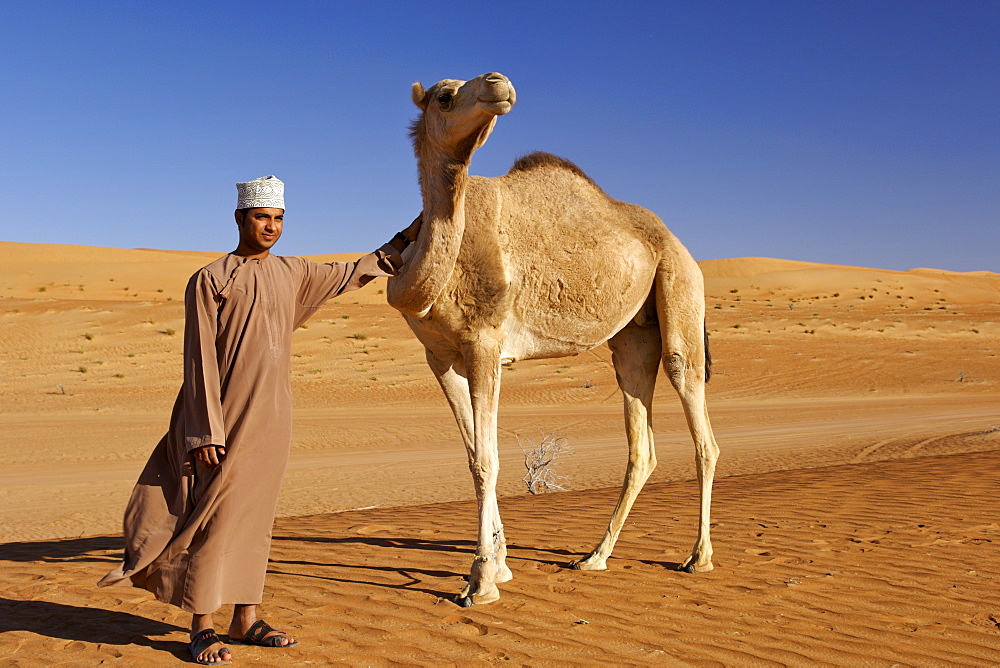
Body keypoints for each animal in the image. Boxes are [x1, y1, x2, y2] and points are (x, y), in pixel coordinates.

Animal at [382, 72, 720, 604]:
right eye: (445, 97)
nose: (498, 83)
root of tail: (675, 240)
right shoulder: (439, 356)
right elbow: (474, 456)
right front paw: (499, 566)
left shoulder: (485, 342)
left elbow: (488, 462)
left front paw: (481, 580)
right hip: (633, 338)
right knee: (641, 443)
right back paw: (595, 556)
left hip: (681, 285)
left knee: (696, 412)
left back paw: (698, 557)